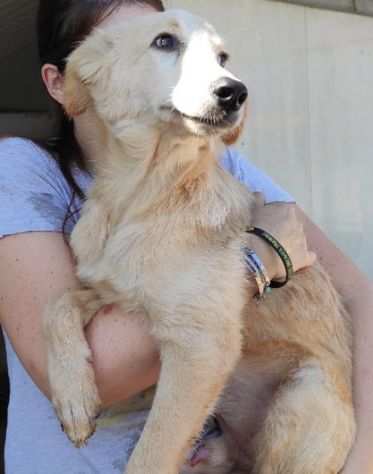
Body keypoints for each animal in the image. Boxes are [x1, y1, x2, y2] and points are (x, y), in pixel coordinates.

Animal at [43, 8, 354, 474]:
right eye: (164, 41)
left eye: (223, 56)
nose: (235, 92)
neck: (142, 197)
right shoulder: (113, 291)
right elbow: (58, 304)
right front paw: (74, 396)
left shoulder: (201, 344)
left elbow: (151, 455)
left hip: (300, 402)